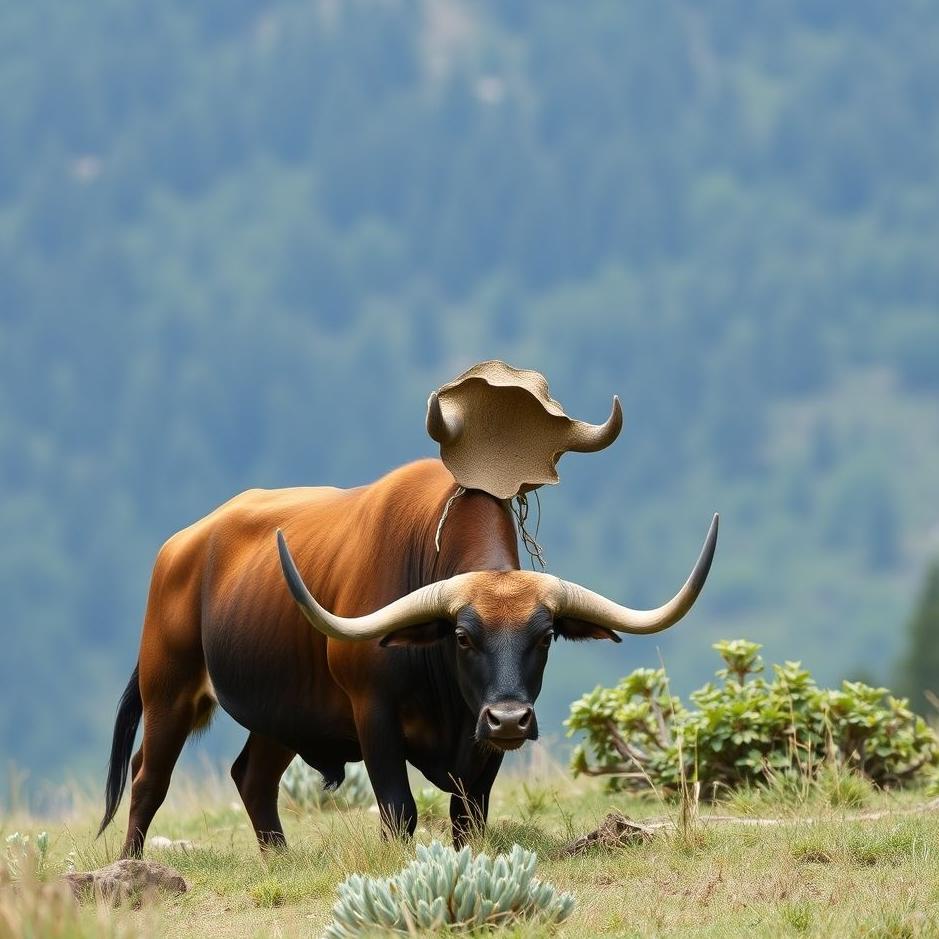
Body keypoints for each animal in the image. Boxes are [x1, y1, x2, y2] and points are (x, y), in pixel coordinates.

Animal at [98, 458, 717, 856]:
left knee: (251, 777)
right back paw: (130, 866)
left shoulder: (480, 745)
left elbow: (469, 818)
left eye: (545, 637)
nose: (510, 718)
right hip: (170, 691)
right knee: (148, 779)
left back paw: (279, 859)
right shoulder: (374, 715)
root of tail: (181, 547)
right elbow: (400, 811)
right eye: (463, 636)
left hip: (279, 714)